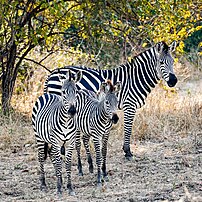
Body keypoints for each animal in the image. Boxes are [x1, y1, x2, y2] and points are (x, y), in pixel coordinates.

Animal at [43, 41, 178, 161]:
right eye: (161, 62)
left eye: (172, 62)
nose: (173, 81)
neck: (135, 79)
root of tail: (51, 74)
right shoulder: (129, 105)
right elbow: (128, 128)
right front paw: (127, 152)